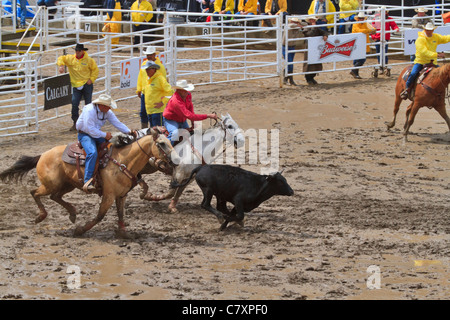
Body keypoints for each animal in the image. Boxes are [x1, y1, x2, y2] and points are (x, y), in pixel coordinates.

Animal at [0, 129, 174, 236]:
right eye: (162, 143)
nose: (173, 160)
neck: (123, 160)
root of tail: (42, 155)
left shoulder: (121, 195)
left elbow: (121, 213)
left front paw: (123, 233)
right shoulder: (109, 195)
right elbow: (100, 216)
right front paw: (80, 230)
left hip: (67, 185)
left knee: (55, 197)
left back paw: (72, 213)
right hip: (51, 185)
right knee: (35, 192)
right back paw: (41, 217)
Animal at [114, 114, 244, 214]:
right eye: (230, 126)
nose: (242, 141)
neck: (199, 148)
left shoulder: (189, 177)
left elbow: (178, 193)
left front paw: (171, 206)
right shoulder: (178, 173)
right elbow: (171, 192)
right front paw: (153, 197)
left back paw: (143, 190)